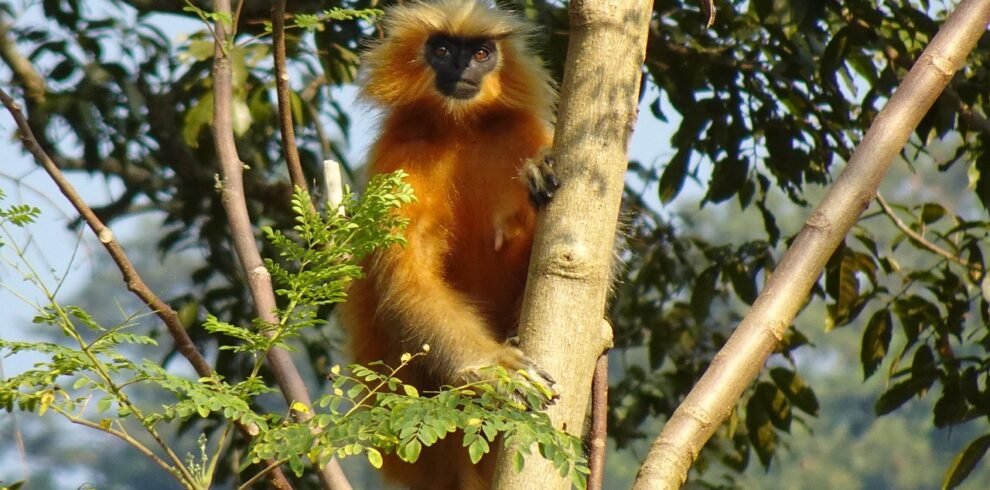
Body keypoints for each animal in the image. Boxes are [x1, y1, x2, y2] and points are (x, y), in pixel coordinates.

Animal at [338, 0, 559, 488]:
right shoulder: (399, 153)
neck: (462, 129)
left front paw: (539, 169)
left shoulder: (525, 130)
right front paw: (497, 369)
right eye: (441, 50)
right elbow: (409, 276)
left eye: (480, 53)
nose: (461, 67)